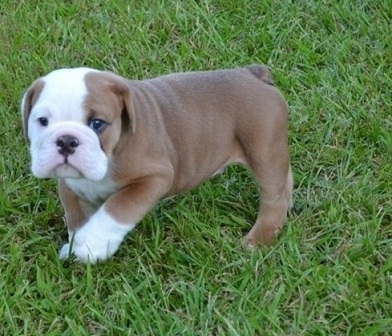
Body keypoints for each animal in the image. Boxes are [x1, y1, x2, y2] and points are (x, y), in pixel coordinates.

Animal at [20, 64, 290, 264]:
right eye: (42, 121)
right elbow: (76, 217)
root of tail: (251, 73)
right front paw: (75, 245)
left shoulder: (153, 178)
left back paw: (258, 240)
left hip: (263, 149)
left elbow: (116, 209)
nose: (66, 140)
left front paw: (90, 245)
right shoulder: (69, 187)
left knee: (273, 198)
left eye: (97, 124)